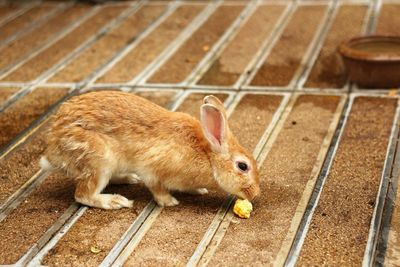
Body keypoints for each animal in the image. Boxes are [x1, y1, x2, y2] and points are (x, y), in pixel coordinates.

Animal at [39, 91, 260, 210]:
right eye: (243, 166)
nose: (255, 194)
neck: (208, 157)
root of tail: (53, 149)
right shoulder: (154, 169)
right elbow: (157, 188)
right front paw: (170, 202)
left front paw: (199, 190)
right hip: (98, 160)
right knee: (83, 194)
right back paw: (115, 201)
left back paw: (128, 179)